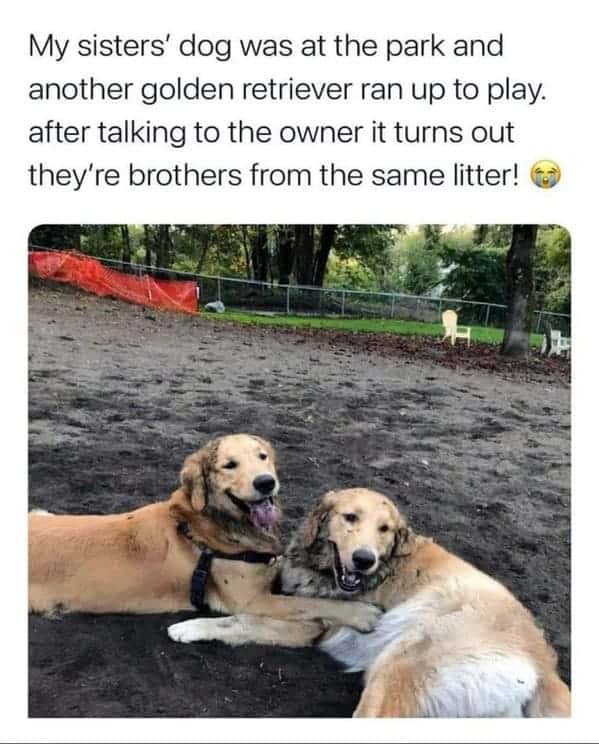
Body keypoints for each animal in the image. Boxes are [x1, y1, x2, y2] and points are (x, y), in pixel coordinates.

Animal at [28, 436, 380, 632]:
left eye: (262, 456)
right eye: (229, 465)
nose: (266, 482)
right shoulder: (253, 601)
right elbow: (313, 604)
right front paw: (361, 613)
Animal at [170, 486, 572, 716]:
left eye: (384, 530)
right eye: (350, 517)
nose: (364, 559)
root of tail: (543, 665)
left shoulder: (309, 627)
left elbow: (240, 621)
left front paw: (189, 626)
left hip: (399, 668)